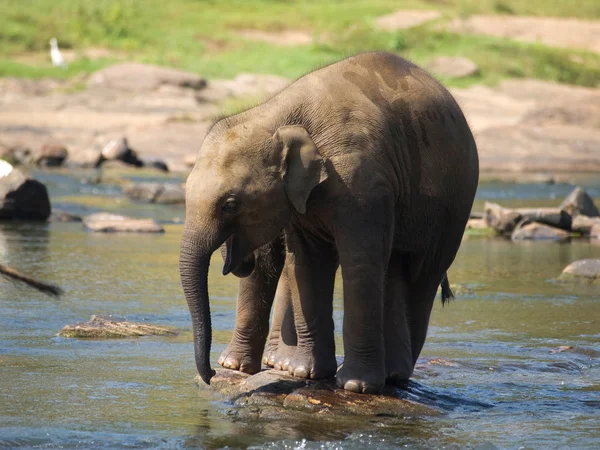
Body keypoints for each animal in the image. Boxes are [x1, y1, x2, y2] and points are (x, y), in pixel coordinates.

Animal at [180, 51, 480, 392]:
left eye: (230, 204)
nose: (211, 376)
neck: (278, 114)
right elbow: (306, 263)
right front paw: (305, 373)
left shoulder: (360, 181)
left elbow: (359, 261)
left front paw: (354, 385)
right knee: (395, 271)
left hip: (454, 207)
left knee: (420, 277)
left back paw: (394, 376)